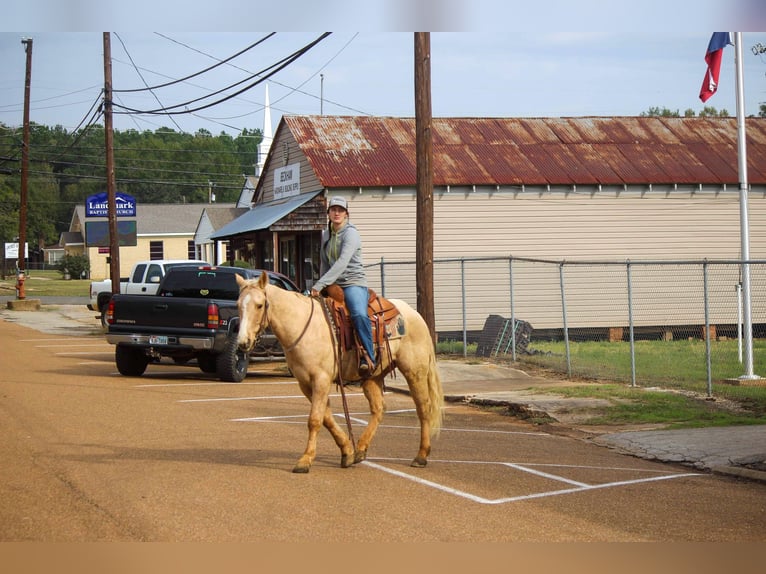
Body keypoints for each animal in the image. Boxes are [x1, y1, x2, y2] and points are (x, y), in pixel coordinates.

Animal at [237, 272, 448, 474]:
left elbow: (315, 419)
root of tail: (414, 313)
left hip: (414, 371)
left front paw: (305, 461)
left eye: (259, 305)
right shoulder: (305, 383)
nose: (243, 342)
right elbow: (326, 417)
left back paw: (421, 456)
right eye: (238, 305)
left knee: (423, 407)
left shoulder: (321, 379)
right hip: (372, 377)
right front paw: (347, 452)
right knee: (378, 409)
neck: (303, 325)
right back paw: (360, 449)